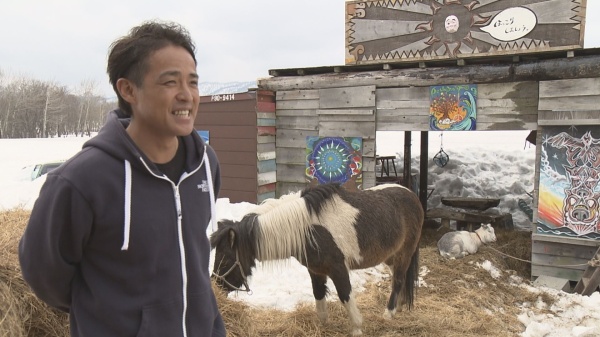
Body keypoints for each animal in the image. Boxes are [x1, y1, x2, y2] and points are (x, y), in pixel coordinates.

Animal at [209, 182, 424, 334]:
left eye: (226, 258)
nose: (217, 286)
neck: (307, 229)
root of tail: (412, 195)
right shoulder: (315, 271)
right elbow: (319, 295)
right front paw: (322, 325)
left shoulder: (338, 269)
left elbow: (345, 295)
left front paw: (356, 327)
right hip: (391, 257)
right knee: (401, 279)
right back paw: (401, 306)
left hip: (404, 253)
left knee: (398, 281)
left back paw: (389, 313)